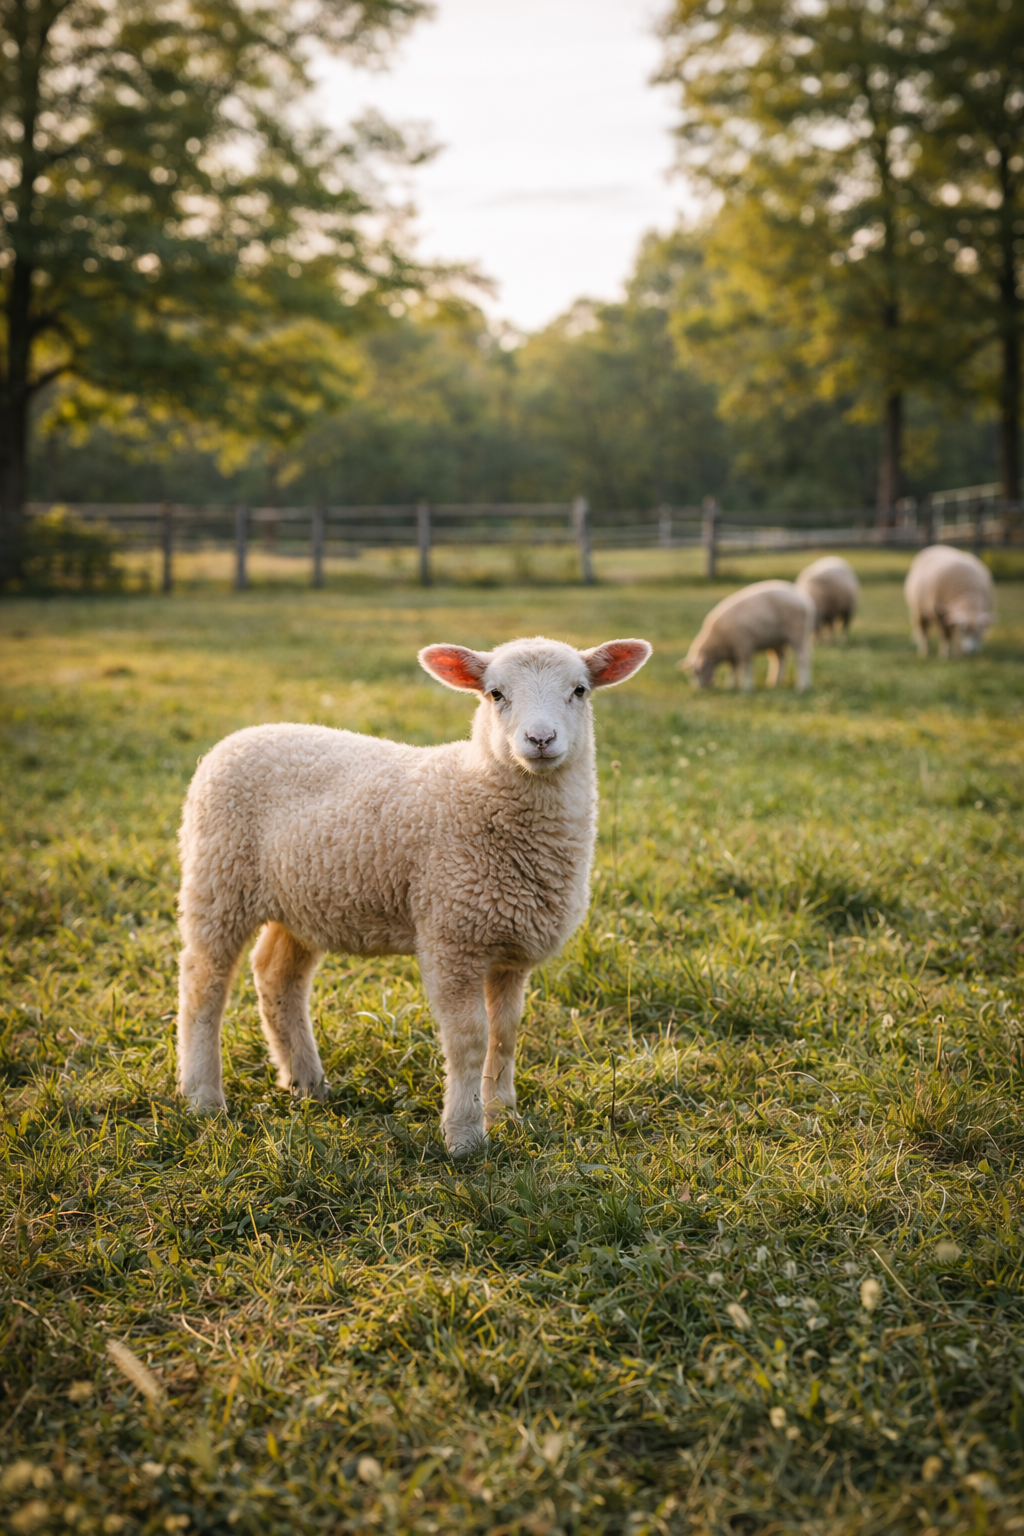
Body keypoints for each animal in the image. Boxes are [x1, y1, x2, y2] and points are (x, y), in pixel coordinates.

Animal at [175, 635, 652, 1155]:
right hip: (217, 879)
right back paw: (203, 1096)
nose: (540, 740)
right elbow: (469, 1038)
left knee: (277, 974)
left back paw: (306, 1083)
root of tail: (238, 738)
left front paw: (505, 1114)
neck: (477, 791)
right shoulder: (451, 936)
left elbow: (505, 1034)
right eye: (496, 693)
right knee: (203, 982)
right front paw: (465, 1134)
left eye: (580, 690)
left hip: (302, 900)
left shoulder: (510, 948)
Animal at [679, 580, 815, 691]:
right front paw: (731, 685)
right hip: (777, 641)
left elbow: (745, 667)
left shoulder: (742, 645)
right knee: (779, 659)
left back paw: (802, 686)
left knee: (802, 658)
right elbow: (732, 668)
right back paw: (774, 682)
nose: (700, 689)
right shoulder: (731, 652)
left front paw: (746, 687)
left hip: (797, 633)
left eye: (697, 671)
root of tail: (805, 600)